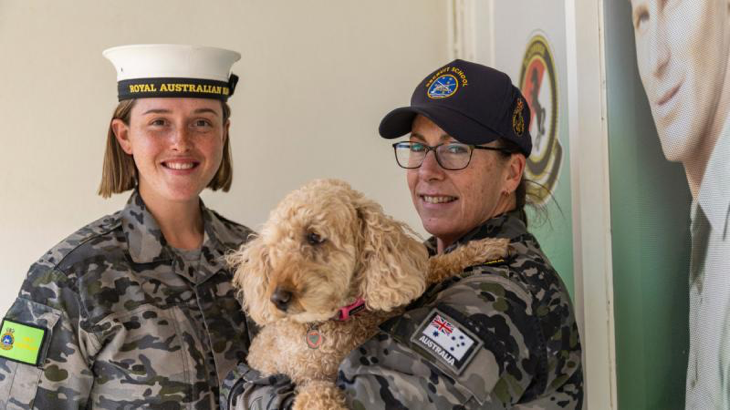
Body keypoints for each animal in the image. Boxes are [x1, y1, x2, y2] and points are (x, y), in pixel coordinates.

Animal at [228, 179, 506, 410]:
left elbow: (433, 265)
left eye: (314, 236)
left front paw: (487, 247)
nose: (277, 299)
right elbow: (316, 394)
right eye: (273, 249)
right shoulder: (305, 377)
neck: (340, 316)